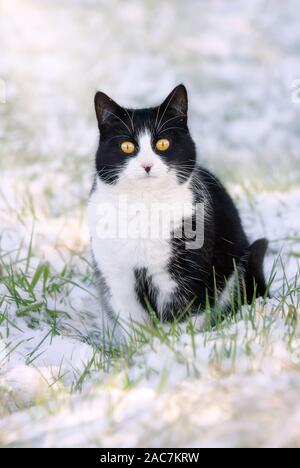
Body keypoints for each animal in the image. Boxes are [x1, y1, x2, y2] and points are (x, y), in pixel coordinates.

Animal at [88, 84, 268, 338]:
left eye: (163, 143)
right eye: (127, 146)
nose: (147, 165)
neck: (144, 205)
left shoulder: (185, 275)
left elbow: (182, 315)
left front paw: (173, 344)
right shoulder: (118, 277)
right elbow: (133, 323)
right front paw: (141, 348)